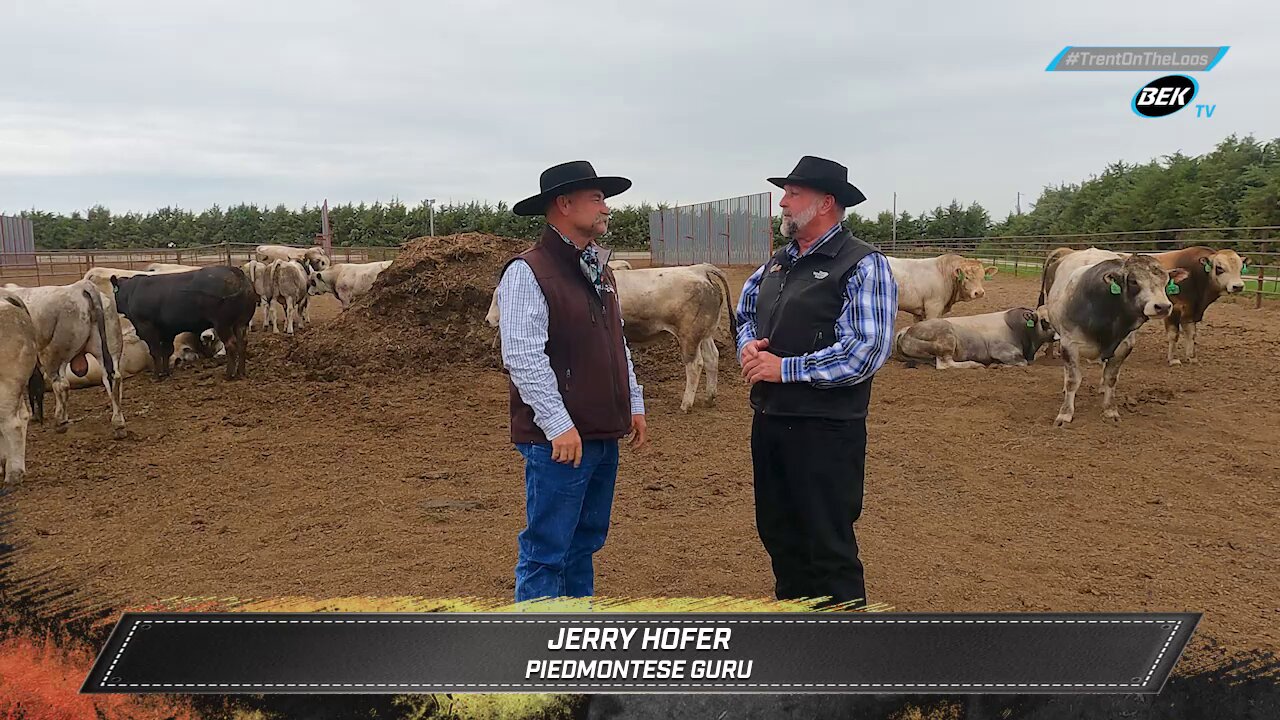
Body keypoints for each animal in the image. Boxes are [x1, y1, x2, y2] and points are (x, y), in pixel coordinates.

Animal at [1, 280, 127, 438]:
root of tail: (80, 286)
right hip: (110, 349)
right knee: (113, 379)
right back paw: (118, 424)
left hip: (53, 354)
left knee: (61, 384)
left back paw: (60, 421)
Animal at [112, 263, 257, 376]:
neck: (131, 292)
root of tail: (236, 273)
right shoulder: (167, 331)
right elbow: (167, 351)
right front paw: (166, 372)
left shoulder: (146, 327)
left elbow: (155, 351)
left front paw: (157, 375)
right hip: (241, 322)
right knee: (242, 343)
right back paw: (241, 372)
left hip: (223, 324)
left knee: (231, 344)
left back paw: (229, 374)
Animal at [483, 262, 737, 409]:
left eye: (499, 297)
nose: (488, 320)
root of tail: (699, 269)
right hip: (705, 333)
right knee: (712, 358)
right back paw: (709, 397)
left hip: (689, 336)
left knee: (695, 365)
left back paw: (687, 403)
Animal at [896, 304, 1054, 366]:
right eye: (1045, 320)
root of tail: (907, 330)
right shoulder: (1002, 350)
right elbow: (1022, 362)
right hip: (946, 340)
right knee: (946, 364)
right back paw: (975, 365)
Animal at [1039, 248, 1187, 425]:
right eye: (1134, 281)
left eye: (1166, 282)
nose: (1163, 306)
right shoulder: (1069, 344)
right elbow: (1072, 380)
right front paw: (1065, 414)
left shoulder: (1123, 346)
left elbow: (1111, 378)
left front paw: (1110, 410)